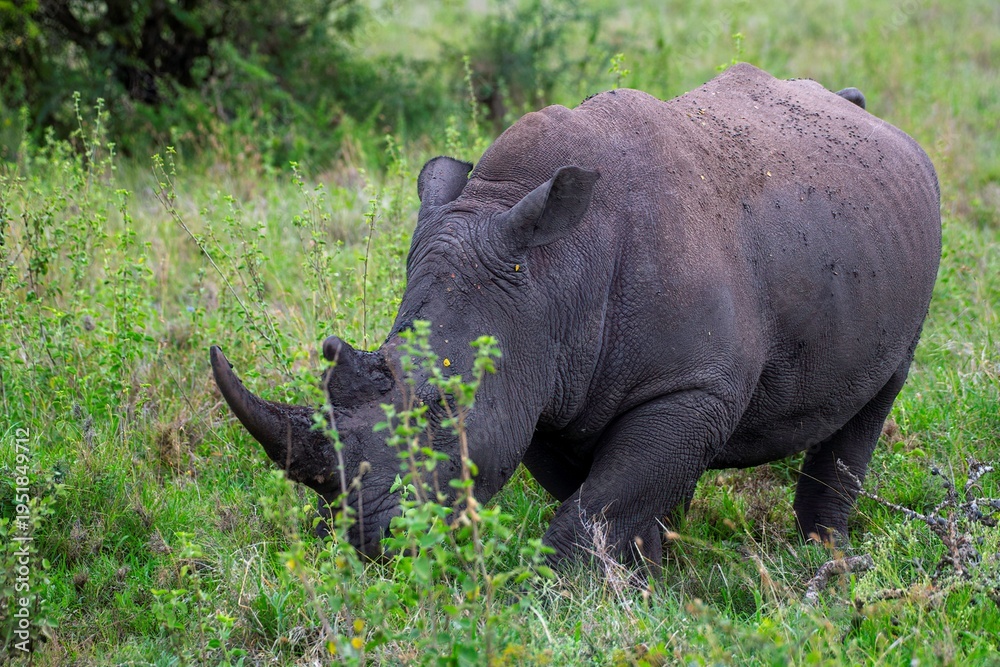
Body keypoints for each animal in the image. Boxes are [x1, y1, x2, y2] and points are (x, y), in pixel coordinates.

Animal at [211, 63, 941, 567]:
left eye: (444, 408)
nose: (368, 540)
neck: (551, 275)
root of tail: (869, 115)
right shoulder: (540, 383)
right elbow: (595, 498)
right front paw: (643, 580)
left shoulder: (691, 387)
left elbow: (598, 506)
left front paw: (568, 595)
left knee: (879, 394)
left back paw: (827, 559)